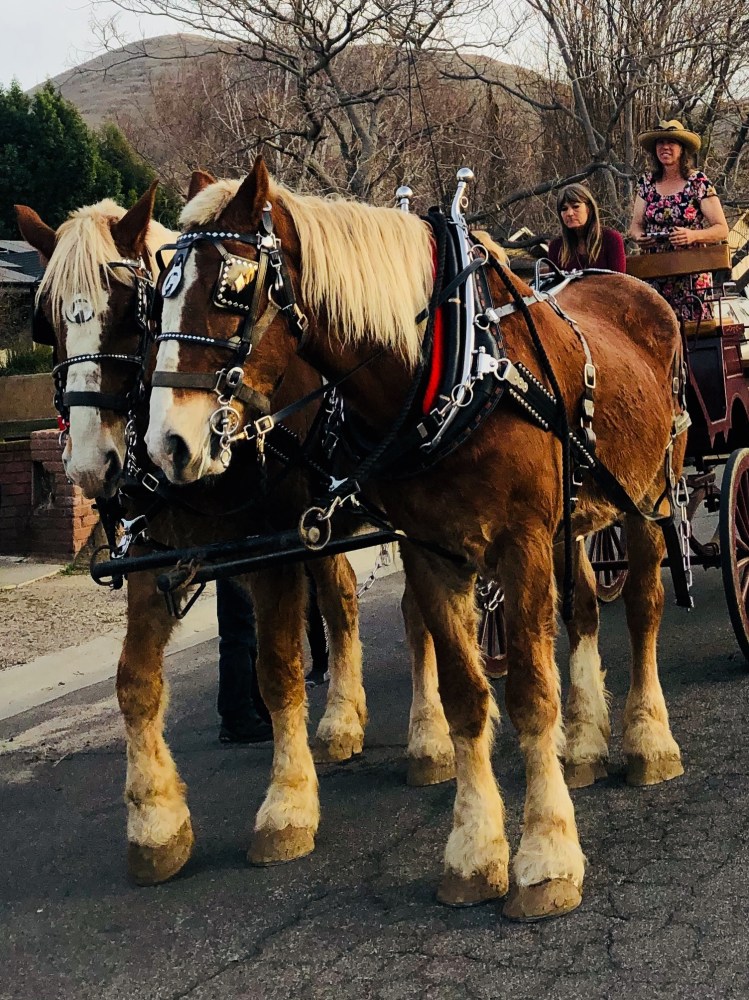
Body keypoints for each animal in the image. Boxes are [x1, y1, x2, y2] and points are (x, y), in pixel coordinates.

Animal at [13, 180, 456, 884]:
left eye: (130, 311)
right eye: (48, 320)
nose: (88, 463)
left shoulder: (272, 545)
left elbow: (277, 670)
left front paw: (287, 808)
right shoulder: (158, 555)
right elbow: (134, 682)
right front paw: (155, 823)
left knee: (417, 615)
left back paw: (429, 737)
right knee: (342, 599)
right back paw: (341, 721)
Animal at [143, 158, 688, 920]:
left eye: (233, 286)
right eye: (155, 298)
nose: (168, 443)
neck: (449, 369)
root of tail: (634, 286)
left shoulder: (519, 543)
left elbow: (528, 693)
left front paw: (546, 855)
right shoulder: (434, 551)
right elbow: (465, 696)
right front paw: (474, 850)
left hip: (648, 494)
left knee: (641, 611)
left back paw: (648, 741)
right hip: (576, 516)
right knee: (582, 609)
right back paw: (582, 746)